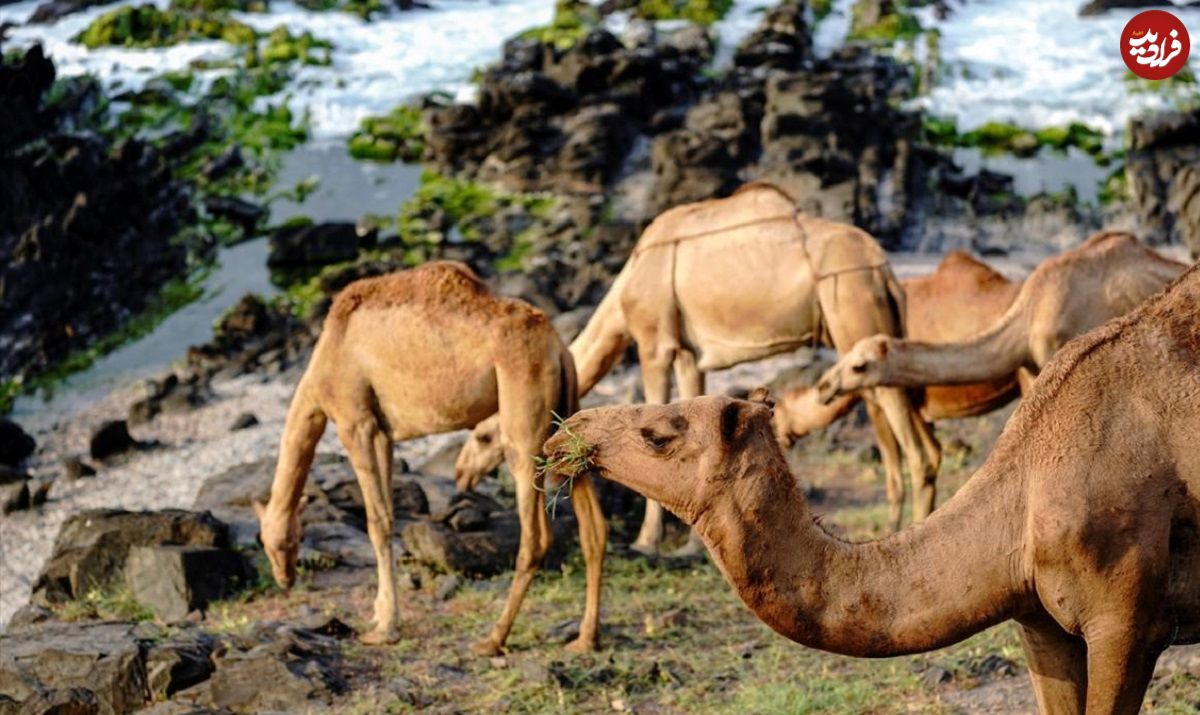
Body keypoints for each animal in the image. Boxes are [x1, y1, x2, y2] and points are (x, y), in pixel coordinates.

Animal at [256, 261, 604, 652]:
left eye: (273, 542)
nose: (284, 578)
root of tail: (559, 348)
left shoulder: (355, 421)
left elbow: (376, 522)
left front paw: (385, 628)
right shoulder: (383, 432)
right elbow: (387, 516)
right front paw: (379, 617)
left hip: (524, 416)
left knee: (535, 537)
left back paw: (492, 638)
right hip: (567, 421)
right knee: (594, 530)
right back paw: (585, 639)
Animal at [456, 179, 936, 542]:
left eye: (483, 434)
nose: (462, 474)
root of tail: (884, 270)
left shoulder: (654, 343)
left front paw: (647, 540)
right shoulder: (689, 355)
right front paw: (689, 537)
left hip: (854, 309)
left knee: (915, 444)